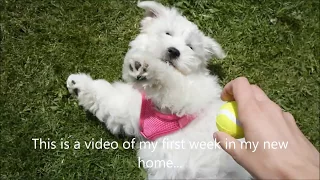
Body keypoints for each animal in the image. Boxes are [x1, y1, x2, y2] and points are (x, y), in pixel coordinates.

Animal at [67, 1, 250, 179]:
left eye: (190, 47)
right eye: (167, 33)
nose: (174, 51)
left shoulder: (186, 95)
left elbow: (168, 76)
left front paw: (146, 65)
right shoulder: (130, 108)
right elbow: (107, 96)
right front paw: (78, 85)